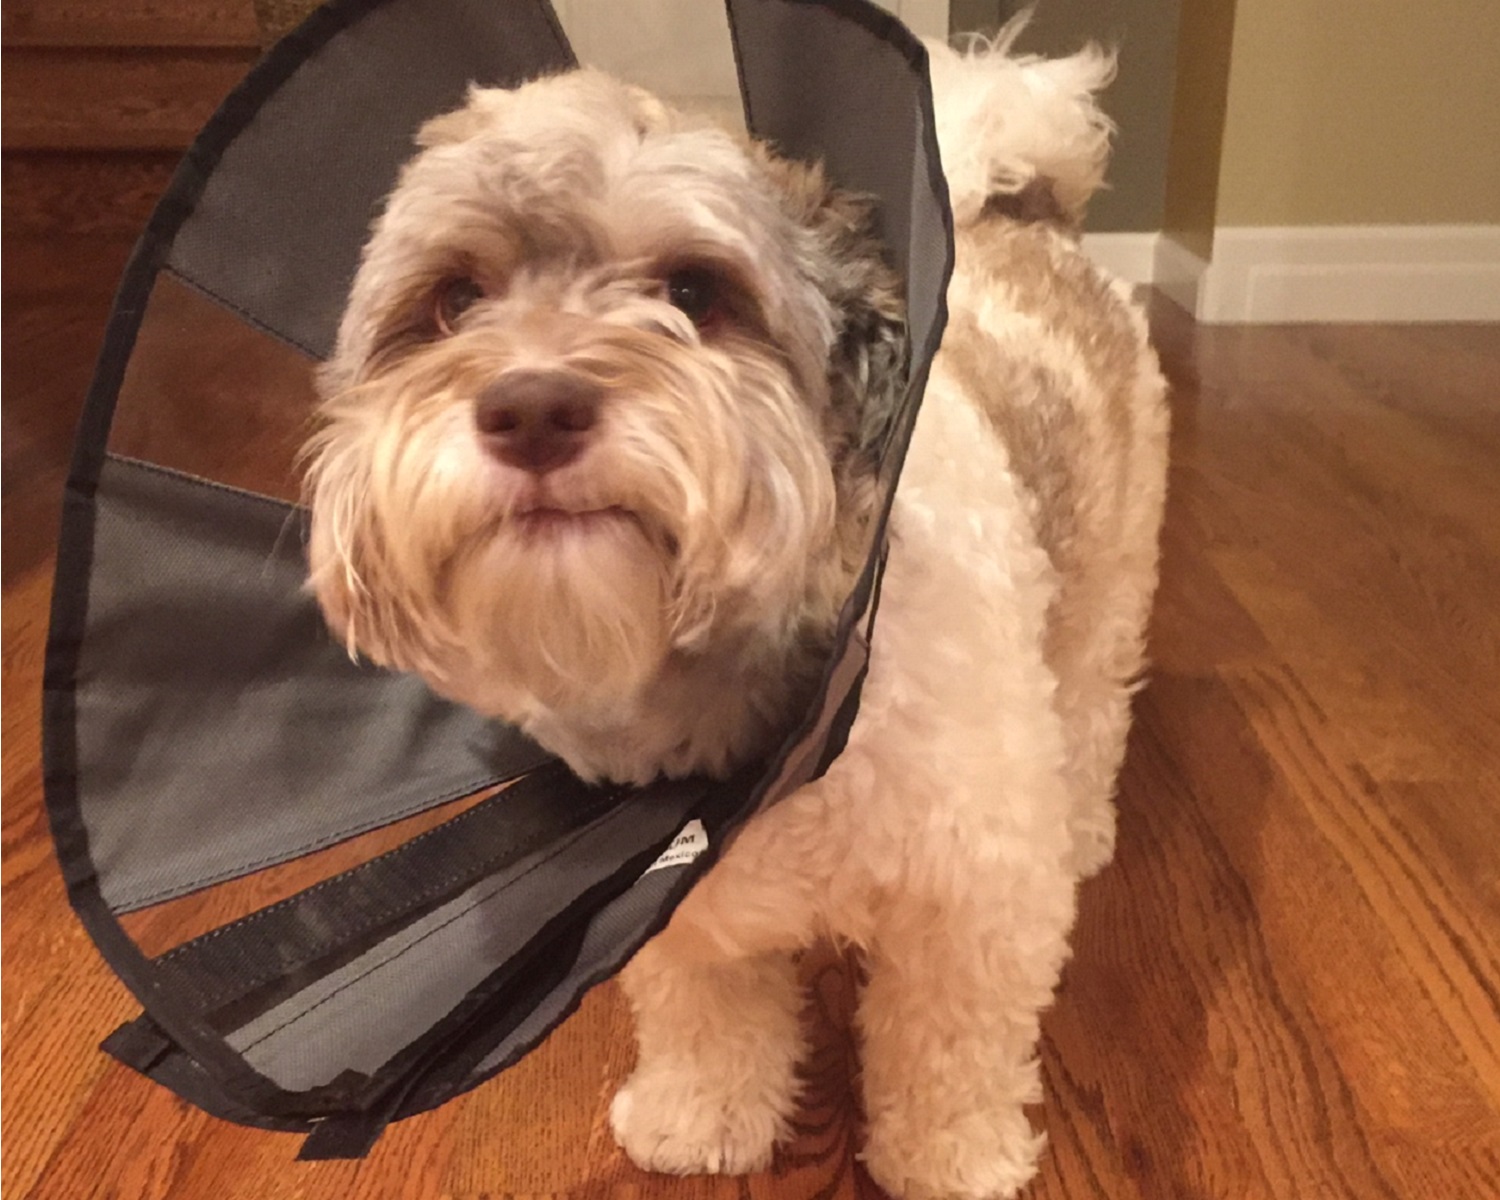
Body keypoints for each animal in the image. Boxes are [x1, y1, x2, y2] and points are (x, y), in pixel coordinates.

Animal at [301, 30, 1170, 1200]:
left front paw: (953, 1158)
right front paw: (701, 1115)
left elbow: (950, 1049)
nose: (530, 405)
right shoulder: (673, 903)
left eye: (692, 291)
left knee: (1090, 704)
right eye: (452, 302)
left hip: (1109, 586)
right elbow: (707, 1015)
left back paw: (1083, 819)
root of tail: (1016, 209)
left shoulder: (971, 906)